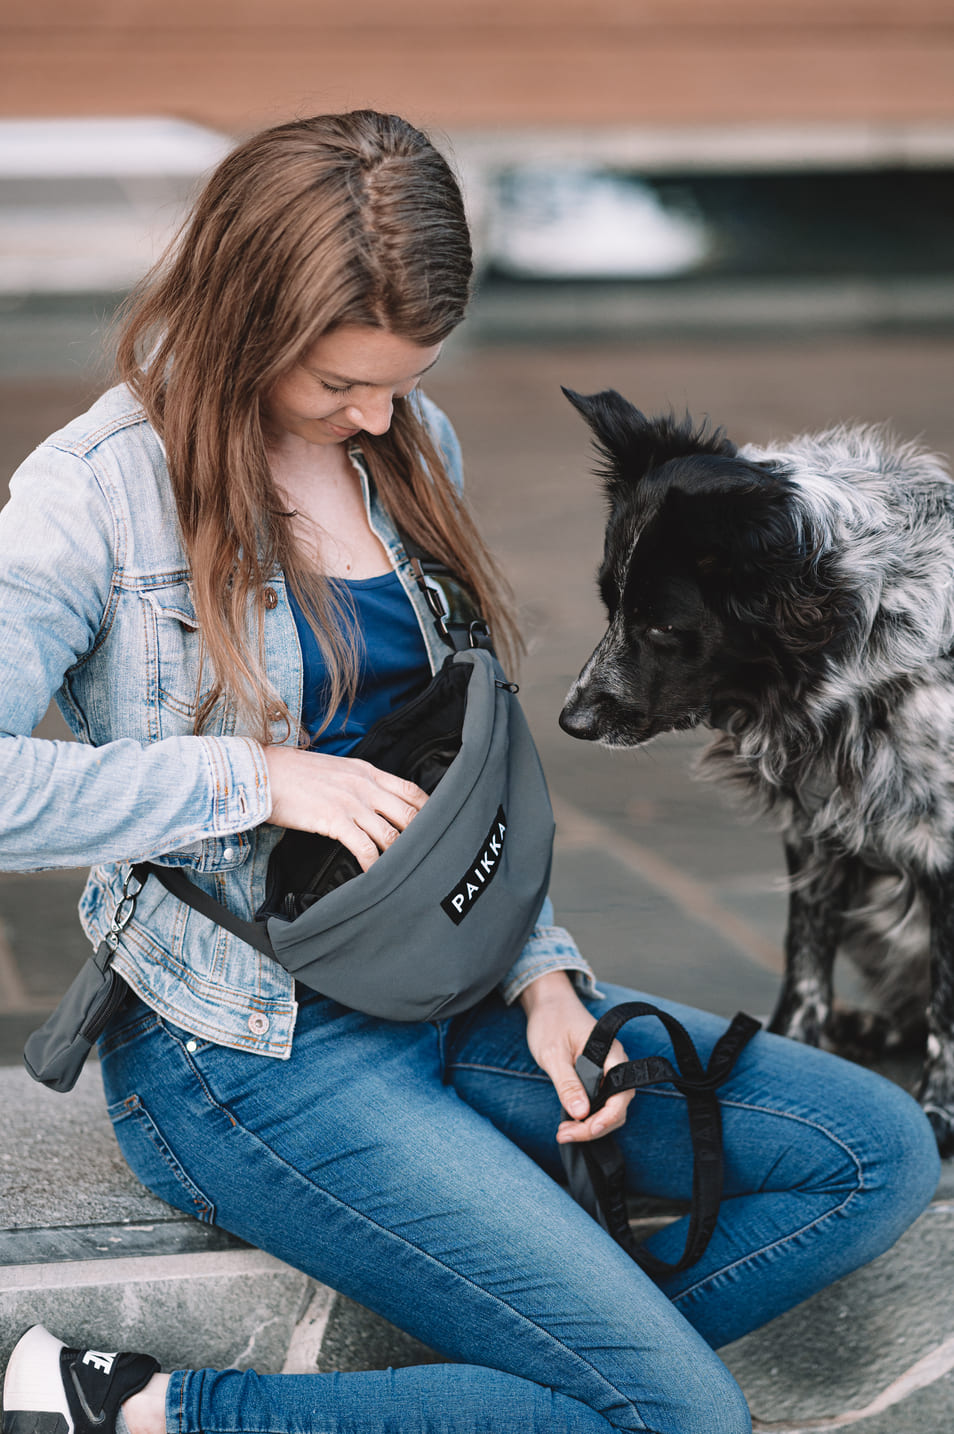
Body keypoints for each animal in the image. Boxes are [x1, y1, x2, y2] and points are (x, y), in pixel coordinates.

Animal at [559, 387, 952, 1158]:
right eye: (609, 604)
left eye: (662, 626)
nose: (571, 722)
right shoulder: (820, 827)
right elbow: (804, 967)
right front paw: (797, 1054)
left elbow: (947, 1014)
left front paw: (938, 1117)